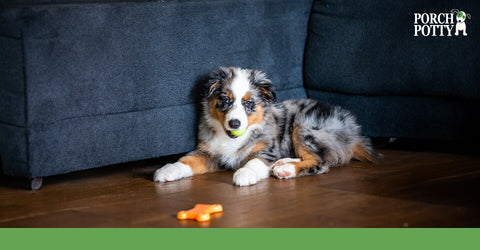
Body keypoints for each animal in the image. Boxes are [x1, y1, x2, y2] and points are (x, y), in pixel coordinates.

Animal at [154, 66, 376, 186]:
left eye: (249, 104)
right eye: (225, 100)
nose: (235, 123)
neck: (231, 139)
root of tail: (354, 132)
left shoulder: (268, 149)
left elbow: (255, 161)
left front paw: (244, 174)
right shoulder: (208, 151)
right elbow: (187, 160)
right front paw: (168, 170)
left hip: (304, 127)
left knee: (320, 162)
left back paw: (286, 169)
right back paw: (284, 162)